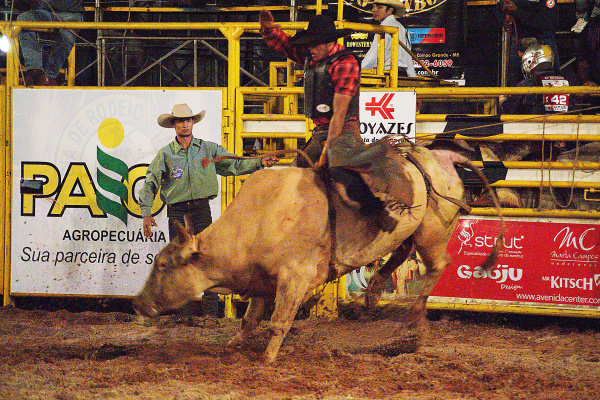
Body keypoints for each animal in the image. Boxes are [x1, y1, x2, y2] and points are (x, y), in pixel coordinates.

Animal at [134, 143, 504, 362]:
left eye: (163, 264)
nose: (137, 303)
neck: (260, 217)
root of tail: (440, 156)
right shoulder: (262, 280)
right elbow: (251, 319)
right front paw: (233, 345)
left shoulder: (293, 278)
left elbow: (278, 321)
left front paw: (267, 358)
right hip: (408, 230)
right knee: (399, 253)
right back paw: (372, 293)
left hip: (432, 232)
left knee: (438, 264)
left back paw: (413, 316)